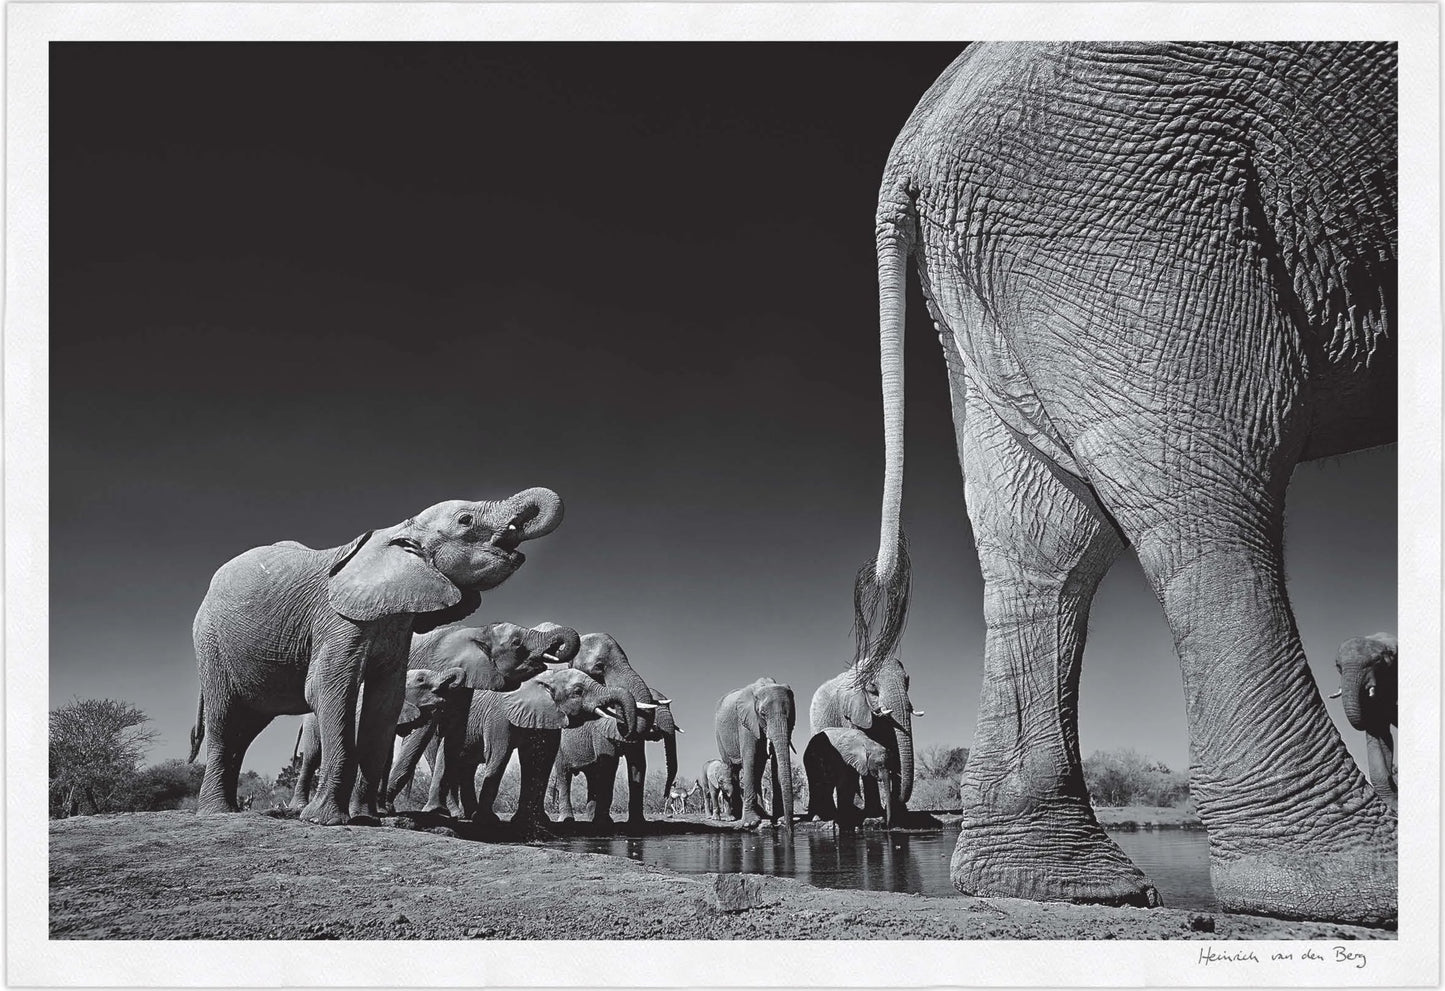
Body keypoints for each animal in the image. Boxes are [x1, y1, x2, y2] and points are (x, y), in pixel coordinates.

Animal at [290, 666, 465, 811]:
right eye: (421, 680)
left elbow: (385, 759)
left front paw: (381, 811)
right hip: (312, 723)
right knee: (312, 757)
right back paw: (299, 807)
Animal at [551, 633, 677, 826]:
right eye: (599, 667)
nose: (665, 795)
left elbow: (638, 765)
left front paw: (637, 823)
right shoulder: (599, 730)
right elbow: (609, 764)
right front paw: (604, 822)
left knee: (592, 776)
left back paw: (591, 818)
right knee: (564, 775)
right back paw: (568, 819)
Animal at [714, 677, 796, 831]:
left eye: (790, 714)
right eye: (763, 714)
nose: (788, 828)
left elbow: (773, 761)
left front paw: (780, 818)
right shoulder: (746, 722)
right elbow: (750, 758)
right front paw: (749, 823)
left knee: (758, 769)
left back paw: (762, 814)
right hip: (719, 734)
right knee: (732, 768)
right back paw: (735, 817)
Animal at [810, 658, 922, 821]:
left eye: (907, 680)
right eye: (873, 686)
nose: (898, 799)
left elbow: (894, 745)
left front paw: (900, 812)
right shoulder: (850, 711)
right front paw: (874, 813)